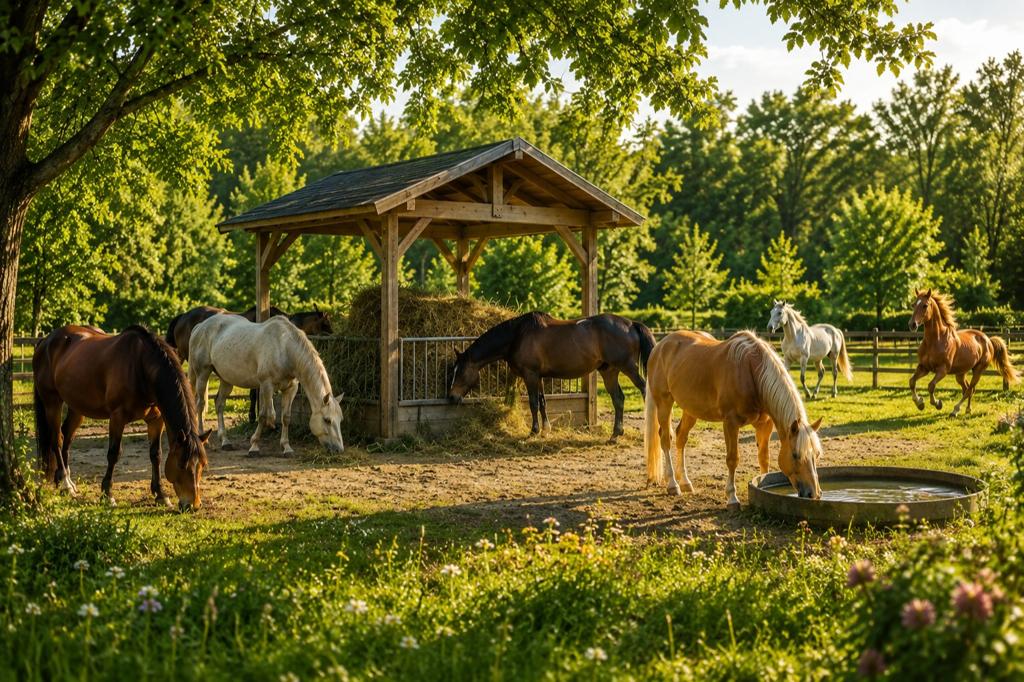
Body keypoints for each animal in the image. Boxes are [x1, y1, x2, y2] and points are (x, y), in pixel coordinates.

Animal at [32, 325, 211, 511]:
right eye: (182, 464)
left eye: (203, 465)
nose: (193, 505)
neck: (141, 366)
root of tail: (45, 341)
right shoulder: (117, 417)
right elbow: (113, 453)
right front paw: (107, 494)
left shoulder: (156, 420)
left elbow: (156, 454)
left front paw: (160, 494)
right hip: (52, 402)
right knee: (57, 440)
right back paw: (66, 484)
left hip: (76, 407)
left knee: (67, 437)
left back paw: (65, 480)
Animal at [188, 314, 345, 455]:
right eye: (327, 420)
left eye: (340, 420)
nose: (338, 450)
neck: (284, 347)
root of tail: (199, 327)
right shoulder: (266, 385)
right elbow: (265, 415)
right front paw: (254, 446)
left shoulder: (291, 389)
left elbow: (285, 417)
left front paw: (286, 447)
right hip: (202, 373)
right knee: (200, 404)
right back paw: (204, 440)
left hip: (226, 379)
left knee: (219, 403)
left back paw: (225, 441)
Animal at [447, 312, 656, 437]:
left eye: (461, 372)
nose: (451, 397)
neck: (518, 335)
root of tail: (631, 324)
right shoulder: (538, 377)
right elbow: (542, 402)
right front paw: (546, 429)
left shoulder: (530, 375)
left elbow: (533, 403)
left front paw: (534, 431)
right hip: (609, 371)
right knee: (618, 399)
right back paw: (615, 434)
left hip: (628, 368)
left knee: (645, 391)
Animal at [644, 330, 823, 508]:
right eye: (795, 455)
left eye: (816, 454)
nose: (814, 493)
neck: (752, 372)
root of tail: (660, 346)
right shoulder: (730, 423)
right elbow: (732, 459)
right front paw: (732, 498)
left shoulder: (764, 425)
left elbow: (763, 458)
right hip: (664, 403)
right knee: (666, 439)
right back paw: (673, 484)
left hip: (690, 410)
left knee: (681, 437)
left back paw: (685, 482)